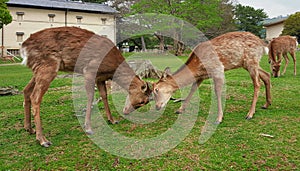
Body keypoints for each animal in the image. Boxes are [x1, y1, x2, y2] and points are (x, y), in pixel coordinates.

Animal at [20, 26, 151, 147]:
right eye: (142, 101)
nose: (127, 112)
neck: (111, 69)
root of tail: (23, 48)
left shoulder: (100, 78)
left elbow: (104, 95)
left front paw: (112, 120)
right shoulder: (89, 70)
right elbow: (90, 96)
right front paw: (88, 128)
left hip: (38, 69)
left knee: (26, 90)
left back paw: (29, 128)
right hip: (47, 66)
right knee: (35, 97)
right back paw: (43, 140)